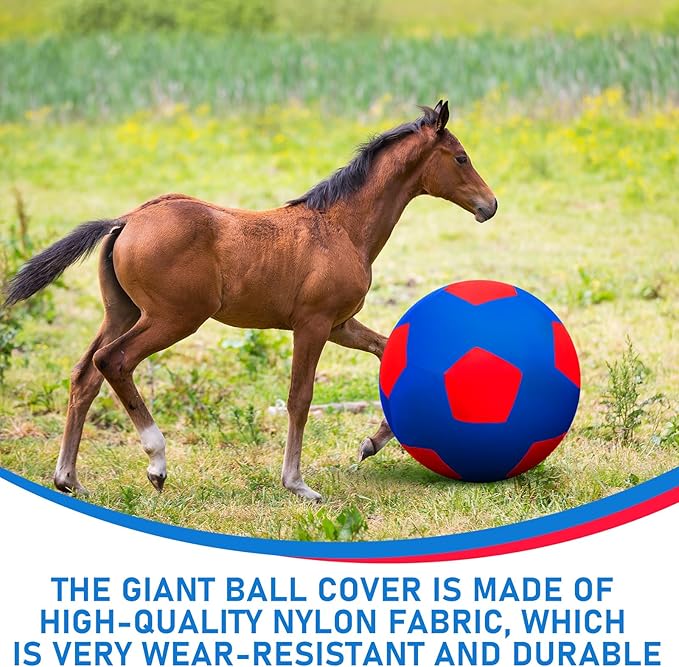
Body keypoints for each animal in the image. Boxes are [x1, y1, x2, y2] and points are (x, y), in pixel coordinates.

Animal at [5, 100, 497, 501]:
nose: (489, 205)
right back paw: (156, 462)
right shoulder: (313, 324)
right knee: (113, 361)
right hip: (173, 318)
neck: (340, 227)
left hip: (123, 312)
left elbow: (387, 349)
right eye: (461, 157)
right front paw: (297, 484)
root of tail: (127, 219)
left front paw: (370, 444)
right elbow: (300, 397)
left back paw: (68, 479)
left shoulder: (340, 324)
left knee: (84, 374)